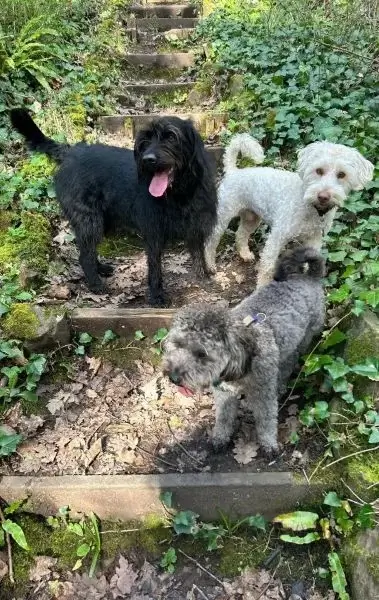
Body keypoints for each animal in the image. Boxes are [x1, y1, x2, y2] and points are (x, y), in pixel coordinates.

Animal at [10, 109, 218, 304]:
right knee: (84, 255)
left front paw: (204, 279)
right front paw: (157, 295)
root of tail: (70, 152)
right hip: (89, 219)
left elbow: (198, 255)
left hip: (102, 220)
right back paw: (95, 284)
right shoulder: (154, 233)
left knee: (88, 249)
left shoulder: (196, 228)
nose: (148, 159)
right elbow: (155, 267)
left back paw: (100, 268)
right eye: (145, 141)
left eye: (171, 136)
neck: (179, 194)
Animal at [163, 246, 326, 458]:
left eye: (202, 354)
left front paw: (269, 444)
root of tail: (308, 277)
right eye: (178, 344)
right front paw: (220, 437)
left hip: (304, 339)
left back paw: (281, 385)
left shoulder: (263, 392)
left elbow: (266, 420)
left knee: (289, 364)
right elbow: (224, 418)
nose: (173, 378)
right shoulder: (224, 394)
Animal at [205, 136, 374, 286]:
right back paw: (210, 265)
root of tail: (234, 171)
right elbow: (267, 267)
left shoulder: (314, 240)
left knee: (241, 234)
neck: (310, 206)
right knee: (210, 241)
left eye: (342, 174)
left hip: (252, 218)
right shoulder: (277, 237)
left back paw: (245, 254)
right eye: (319, 170)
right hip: (223, 216)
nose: (323, 196)